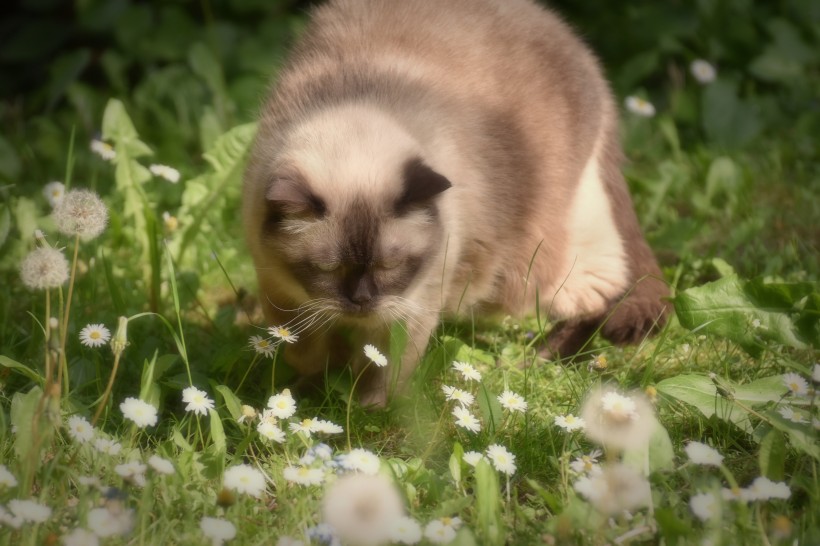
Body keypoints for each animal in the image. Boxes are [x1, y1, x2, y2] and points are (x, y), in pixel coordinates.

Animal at [240, 0, 668, 404]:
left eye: (390, 265)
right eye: (328, 268)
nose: (361, 301)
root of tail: (582, 51)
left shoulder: (412, 305)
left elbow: (385, 369)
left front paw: (367, 415)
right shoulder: (282, 294)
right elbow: (304, 354)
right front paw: (307, 395)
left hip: (541, 265)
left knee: (600, 296)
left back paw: (537, 361)